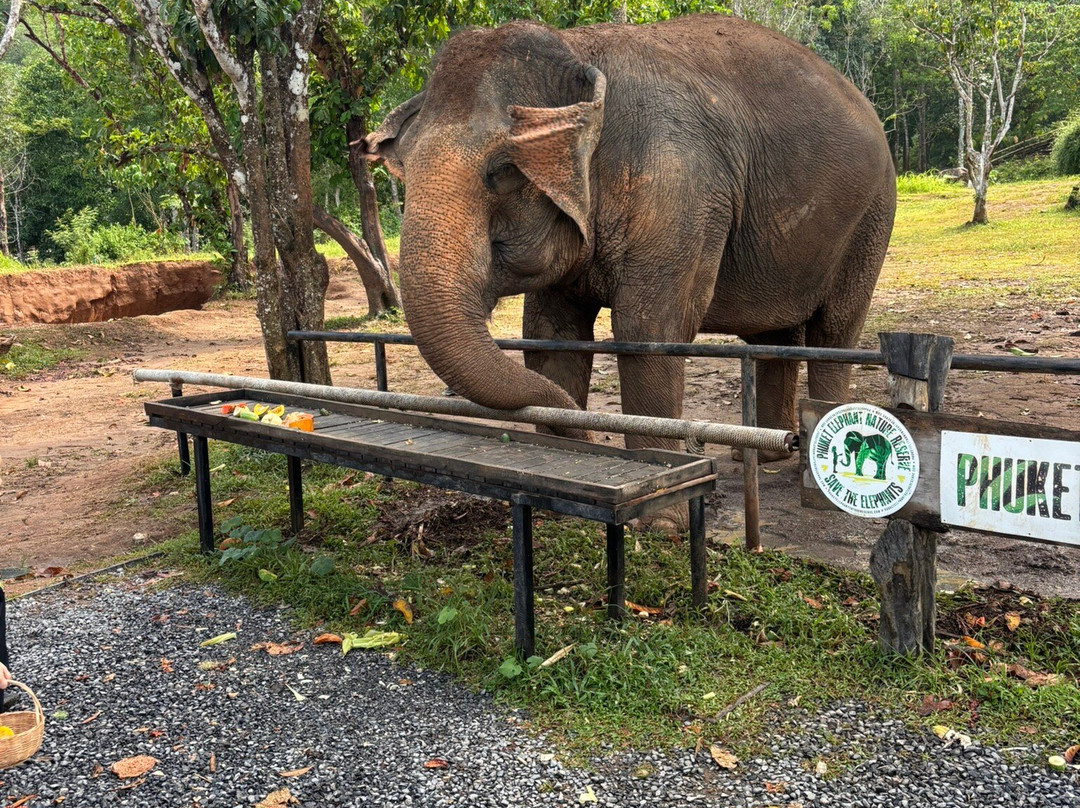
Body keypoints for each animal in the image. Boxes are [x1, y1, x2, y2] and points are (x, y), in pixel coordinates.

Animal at [364, 15, 896, 464]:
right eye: (403, 167)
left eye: (503, 171)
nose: (583, 427)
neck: (576, 48)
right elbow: (551, 333)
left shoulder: (681, 188)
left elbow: (650, 328)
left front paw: (663, 495)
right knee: (776, 339)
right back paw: (766, 457)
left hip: (872, 217)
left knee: (834, 330)